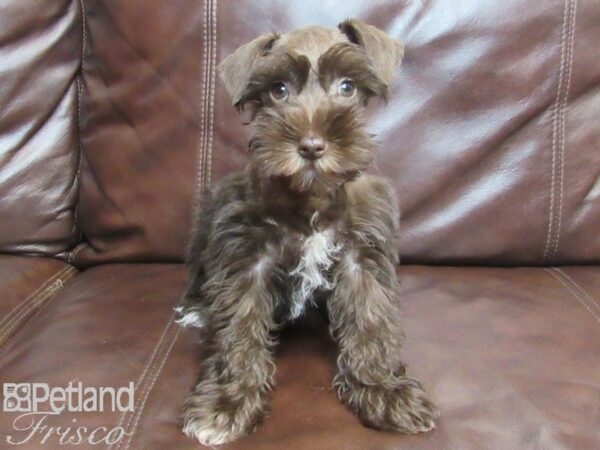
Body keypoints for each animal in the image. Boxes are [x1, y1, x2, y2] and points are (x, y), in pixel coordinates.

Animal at [176, 20, 438, 446]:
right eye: (278, 90)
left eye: (347, 87)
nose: (312, 144)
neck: (311, 199)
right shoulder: (248, 257)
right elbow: (239, 328)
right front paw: (228, 402)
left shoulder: (361, 258)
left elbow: (371, 323)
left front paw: (385, 391)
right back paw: (198, 309)